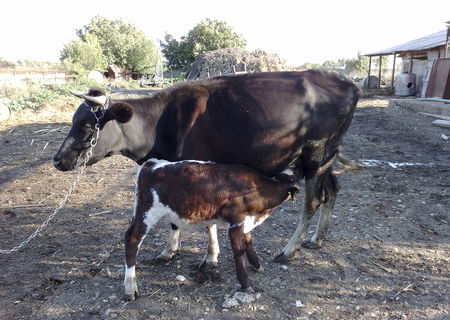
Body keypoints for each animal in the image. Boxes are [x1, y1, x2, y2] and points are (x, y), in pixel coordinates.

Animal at [52, 71, 360, 264]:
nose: (57, 160)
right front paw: (169, 252)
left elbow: (204, 220)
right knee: (332, 190)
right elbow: (175, 219)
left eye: (88, 125)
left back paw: (289, 249)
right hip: (323, 158)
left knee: (312, 201)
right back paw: (317, 239)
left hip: (317, 154)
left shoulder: (198, 168)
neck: (161, 125)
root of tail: (347, 82)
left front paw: (209, 255)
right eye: (74, 120)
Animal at [123, 159, 300, 302]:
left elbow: (249, 240)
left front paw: (256, 265)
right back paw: (130, 288)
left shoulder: (245, 221)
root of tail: (151, 163)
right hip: (148, 212)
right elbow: (238, 250)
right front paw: (246, 284)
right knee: (132, 239)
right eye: (294, 178)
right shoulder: (236, 220)